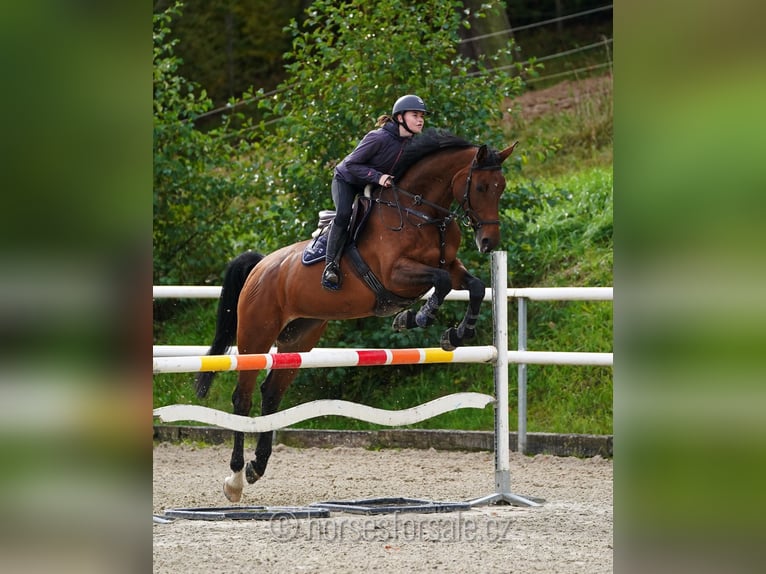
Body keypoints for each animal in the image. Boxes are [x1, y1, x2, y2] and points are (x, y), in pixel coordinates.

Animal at [195, 130, 520, 504]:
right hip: (256, 335)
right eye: (480, 187)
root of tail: (260, 266)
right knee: (242, 397)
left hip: (300, 336)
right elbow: (438, 283)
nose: (489, 242)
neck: (421, 213)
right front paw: (416, 318)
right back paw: (234, 478)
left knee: (271, 392)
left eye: (501, 187)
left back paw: (256, 467)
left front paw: (456, 333)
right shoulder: (396, 275)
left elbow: (476, 286)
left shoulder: (451, 266)